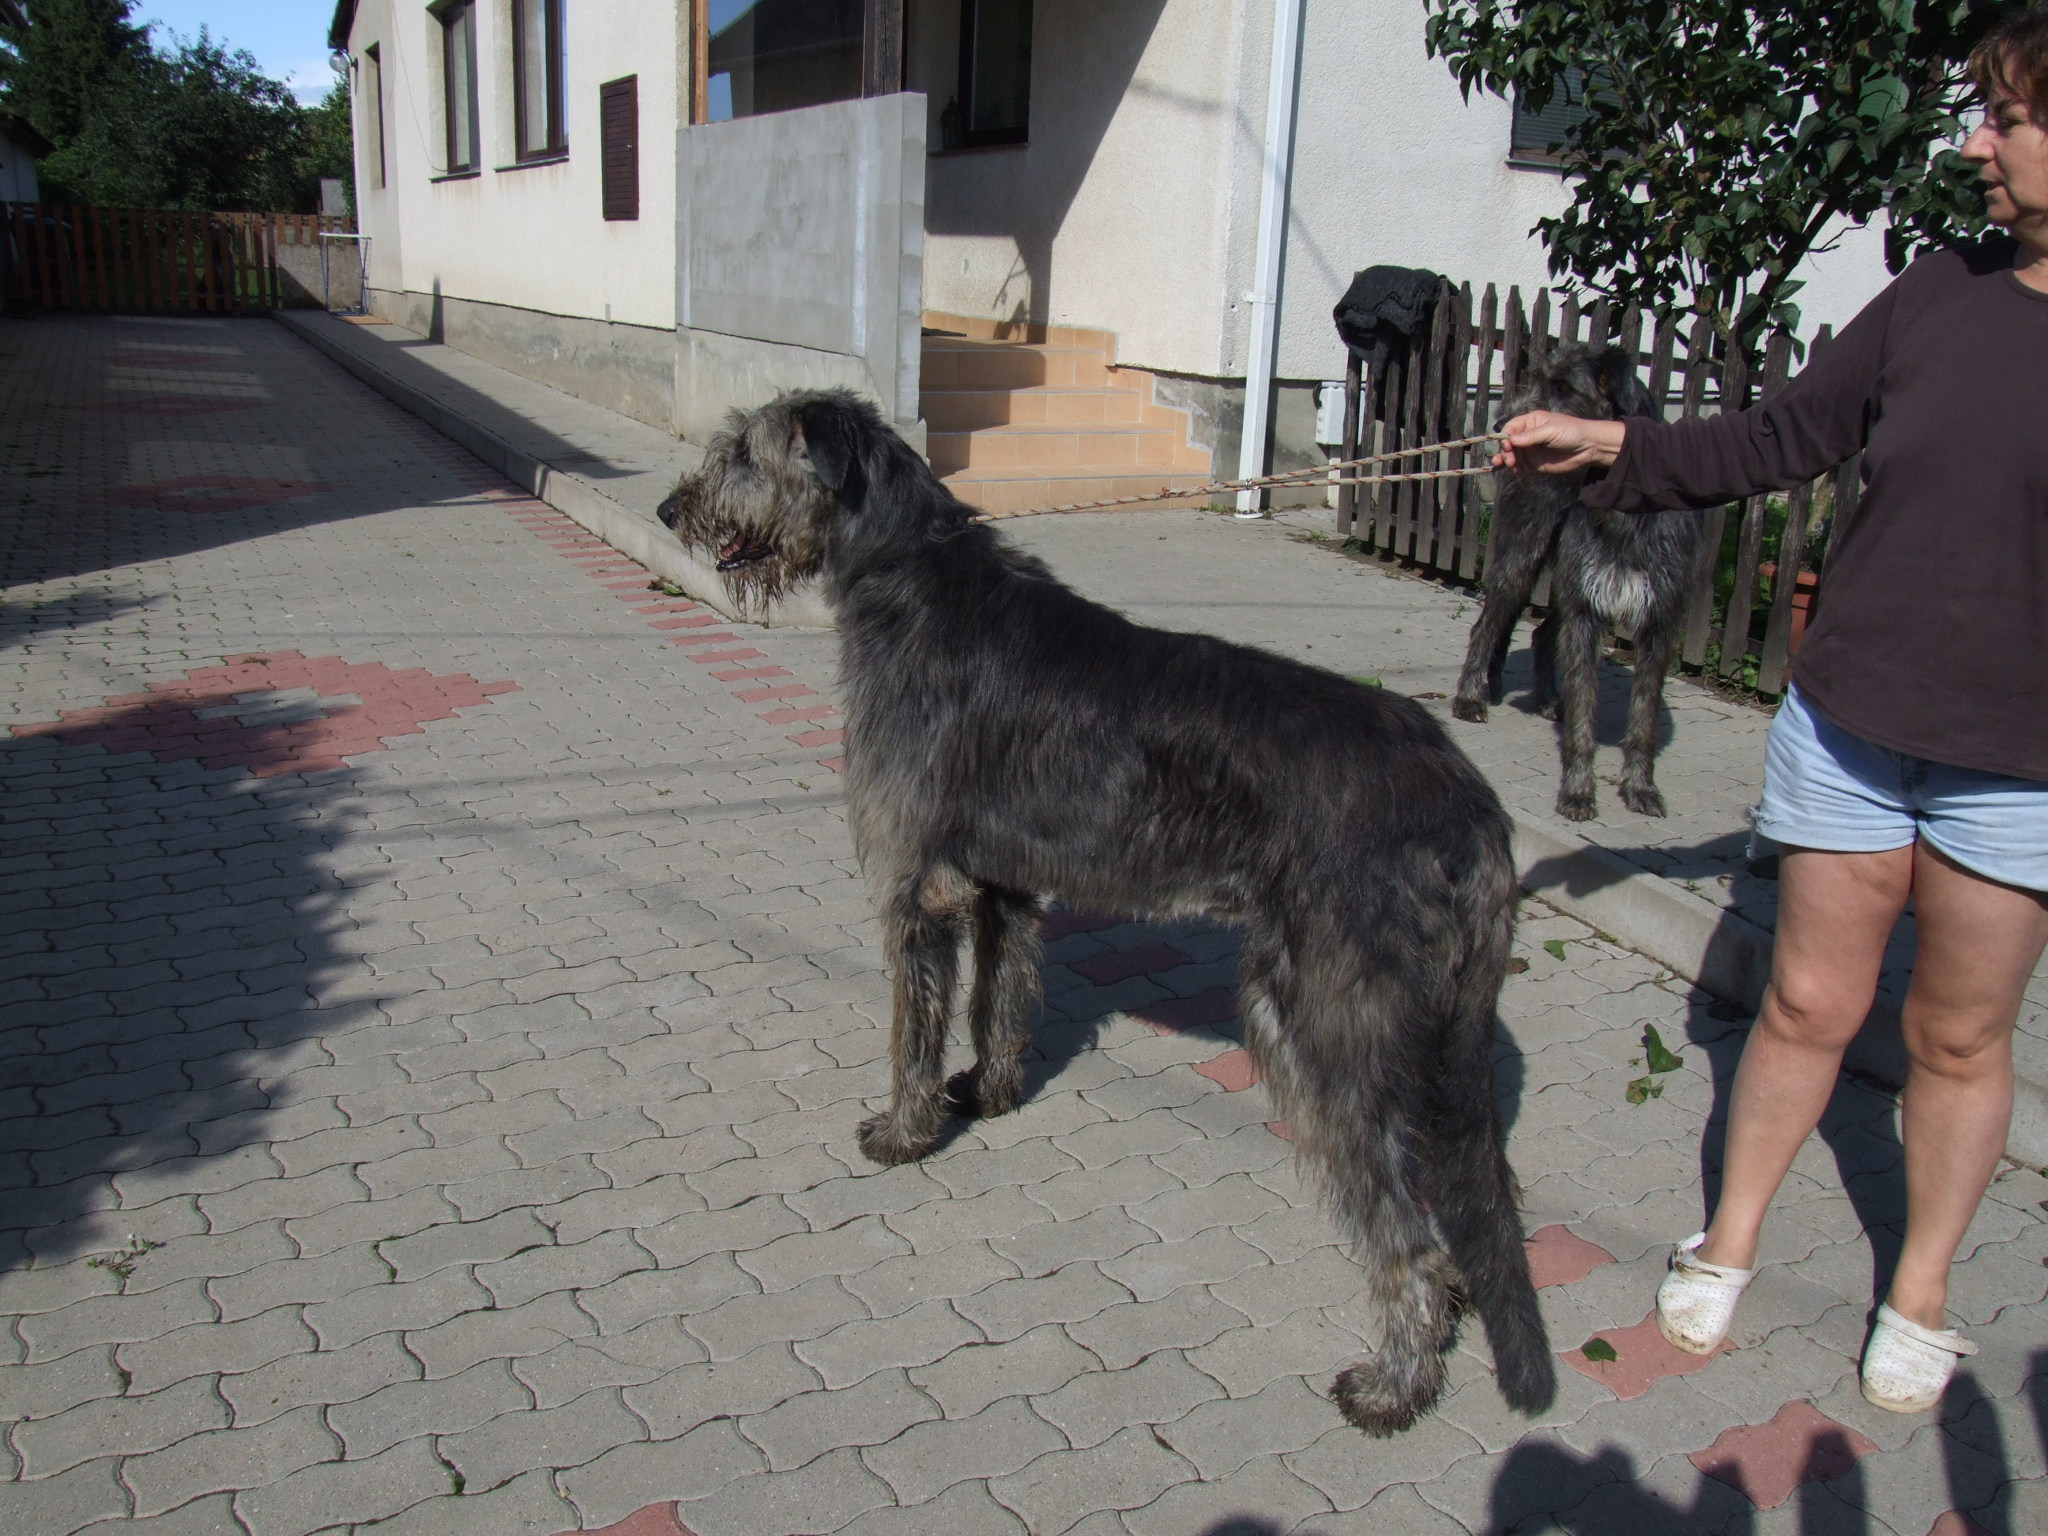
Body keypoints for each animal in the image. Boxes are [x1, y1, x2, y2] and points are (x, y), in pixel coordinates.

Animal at [657, 389, 1555, 1436]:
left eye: (743, 453)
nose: (672, 510)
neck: (904, 571)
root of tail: (1470, 799)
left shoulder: (915, 885)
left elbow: (914, 1028)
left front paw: (905, 1131)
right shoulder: (999, 884)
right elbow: (997, 1000)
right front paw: (989, 1092)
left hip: (1326, 1024)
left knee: (1410, 1240)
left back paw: (1392, 1385)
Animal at [1451, 344, 1710, 821]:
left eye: (1564, 388)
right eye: (1536, 379)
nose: (1500, 427)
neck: (1625, 510)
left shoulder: (1658, 620)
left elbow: (1643, 718)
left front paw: (1640, 787)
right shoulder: (1587, 613)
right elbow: (1584, 717)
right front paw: (1577, 792)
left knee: (1540, 632)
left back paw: (1543, 698)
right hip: (1523, 556)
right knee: (1487, 624)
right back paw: (1471, 697)